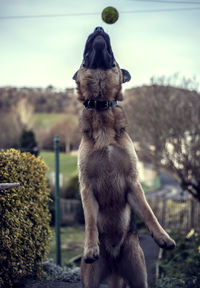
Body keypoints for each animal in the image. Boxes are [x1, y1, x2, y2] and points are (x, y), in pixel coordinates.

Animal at [72, 27, 175, 288]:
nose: (99, 28)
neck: (101, 107)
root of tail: (114, 265)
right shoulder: (86, 187)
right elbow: (90, 220)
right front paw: (90, 248)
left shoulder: (132, 181)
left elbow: (148, 211)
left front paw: (163, 238)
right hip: (91, 280)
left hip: (138, 274)